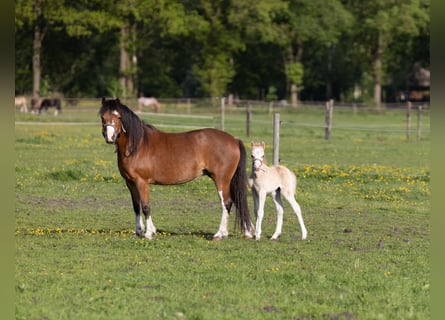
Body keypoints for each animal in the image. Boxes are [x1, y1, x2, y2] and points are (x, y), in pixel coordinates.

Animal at [99, 97, 255, 240]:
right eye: (103, 117)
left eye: (119, 116)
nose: (110, 137)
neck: (137, 146)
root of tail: (234, 140)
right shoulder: (130, 182)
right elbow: (136, 206)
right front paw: (138, 231)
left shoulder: (141, 182)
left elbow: (145, 206)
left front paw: (149, 233)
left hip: (222, 180)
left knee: (226, 203)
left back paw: (219, 234)